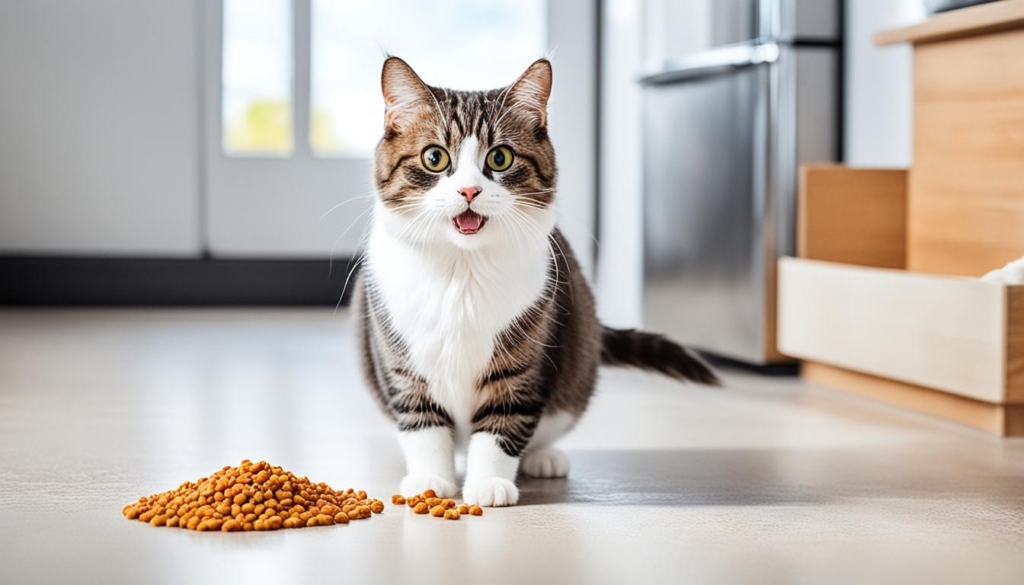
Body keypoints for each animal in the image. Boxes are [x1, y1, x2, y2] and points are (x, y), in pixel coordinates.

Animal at [352, 56, 720, 508]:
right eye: (435, 157)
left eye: (500, 158)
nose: (469, 190)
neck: (462, 268)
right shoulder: (402, 359)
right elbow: (423, 424)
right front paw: (430, 480)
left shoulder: (526, 353)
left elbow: (503, 423)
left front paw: (489, 483)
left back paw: (544, 458)